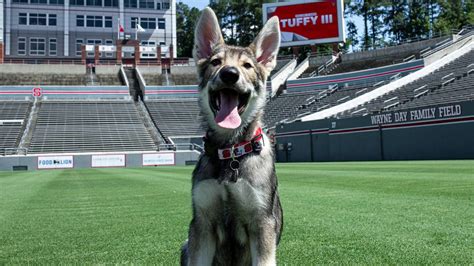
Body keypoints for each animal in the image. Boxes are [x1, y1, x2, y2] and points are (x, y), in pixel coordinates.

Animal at [182, 7, 284, 264]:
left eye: (247, 66)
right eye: (215, 62)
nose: (229, 73)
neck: (230, 153)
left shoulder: (262, 223)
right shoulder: (202, 224)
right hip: (185, 245)